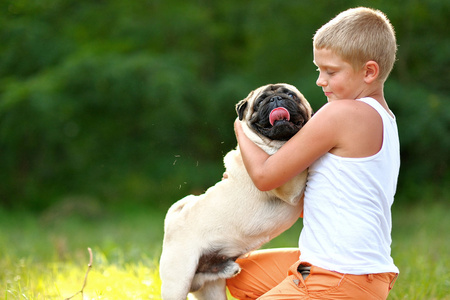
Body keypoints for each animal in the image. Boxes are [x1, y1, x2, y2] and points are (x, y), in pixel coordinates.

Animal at [160, 84, 312, 300]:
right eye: (260, 101)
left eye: (291, 95)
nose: (276, 99)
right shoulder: (292, 185)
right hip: (177, 281)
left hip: (211, 289)